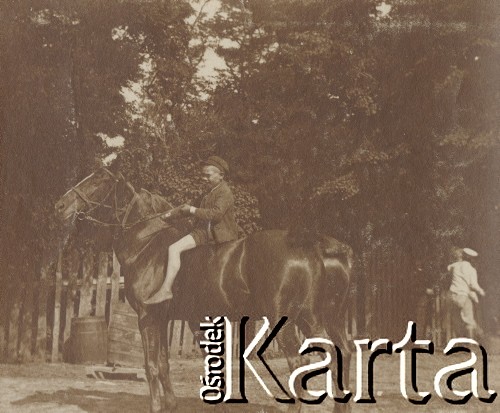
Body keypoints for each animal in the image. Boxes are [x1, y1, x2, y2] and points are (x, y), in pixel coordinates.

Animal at [54, 167, 353, 413]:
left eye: (98, 180)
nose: (60, 205)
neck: (146, 244)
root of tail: (310, 244)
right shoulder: (163, 319)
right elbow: (164, 364)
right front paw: (171, 405)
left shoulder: (147, 318)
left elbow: (151, 366)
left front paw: (156, 406)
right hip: (320, 318)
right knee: (342, 352)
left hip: (288, 321)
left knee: (298, 364)